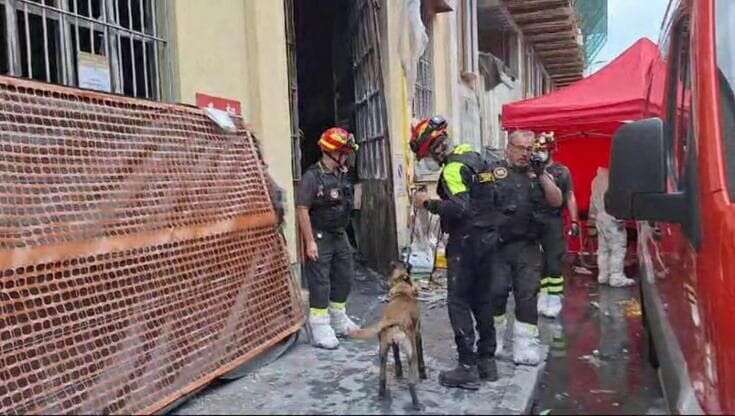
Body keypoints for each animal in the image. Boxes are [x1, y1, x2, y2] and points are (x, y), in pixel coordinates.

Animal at [350, 262, 426, 408]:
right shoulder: (418, 334)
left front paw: (398, 372)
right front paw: (423, 374)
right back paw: (416, 403)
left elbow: (396, 358)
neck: (402, 292)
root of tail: (393, 320)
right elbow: (421, 357)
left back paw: (381, 395)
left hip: (383, 351)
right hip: (411, 352)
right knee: (411, 381)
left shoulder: (393, 344)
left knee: (382, 377)